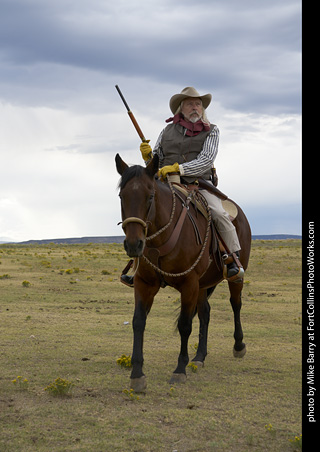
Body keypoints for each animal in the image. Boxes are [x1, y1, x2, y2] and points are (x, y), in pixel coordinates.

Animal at [114, 153, 250, 392]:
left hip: (232, 277)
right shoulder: (144, 284)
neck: (161, 238)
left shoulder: (189, 284)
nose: (133, 244)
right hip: (203, 285)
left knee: (236, 304)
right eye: (122, 196)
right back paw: (199, 357)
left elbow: (184, 325)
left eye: (150, 197)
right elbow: (138, 321)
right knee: (205, 312)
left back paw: (238, 345)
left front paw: (179, 369)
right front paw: (137, 373)